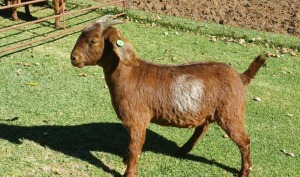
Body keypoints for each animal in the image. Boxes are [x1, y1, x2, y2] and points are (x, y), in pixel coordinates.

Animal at [71, 15, 268, 177]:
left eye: (93, 40)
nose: (73, 58)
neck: (129, 75)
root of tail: (241, 77)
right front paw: (126, 161)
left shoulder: (137, 119)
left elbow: (135, 146)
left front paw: (129, 172)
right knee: (202, 127)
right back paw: (182, 150)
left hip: (231, 112)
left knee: (244, 140)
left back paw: (244, 171)